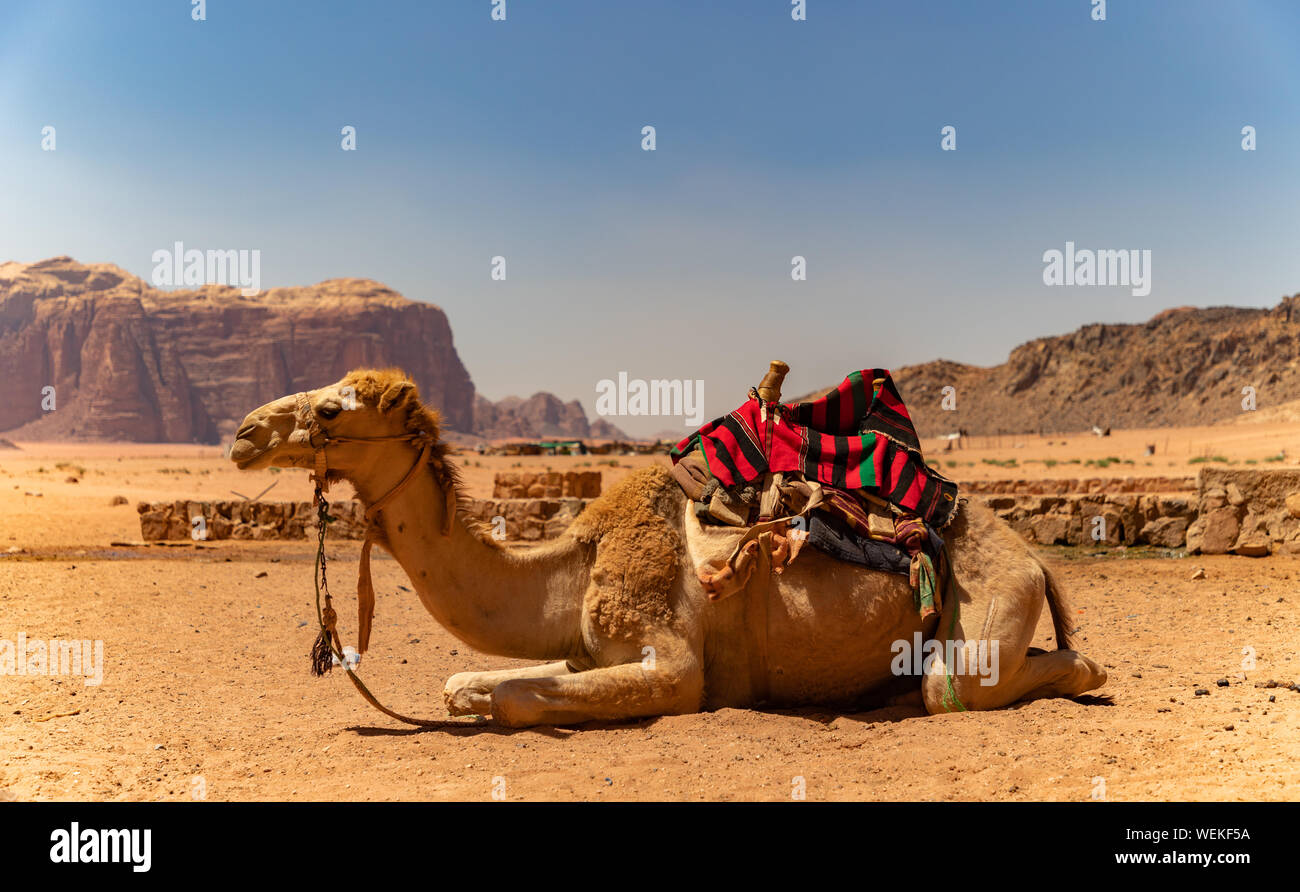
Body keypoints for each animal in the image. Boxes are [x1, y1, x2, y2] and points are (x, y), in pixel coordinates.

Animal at [228, 369, 1102, 728]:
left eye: (333, 410)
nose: (243, 433)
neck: (573, 562)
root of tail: (1036, 557)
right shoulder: (581, 649)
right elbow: (463, 683)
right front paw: (467, 691)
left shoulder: (673, 665)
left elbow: (517, 699)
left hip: (985, 610)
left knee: (962, 685)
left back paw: (1084, 670)